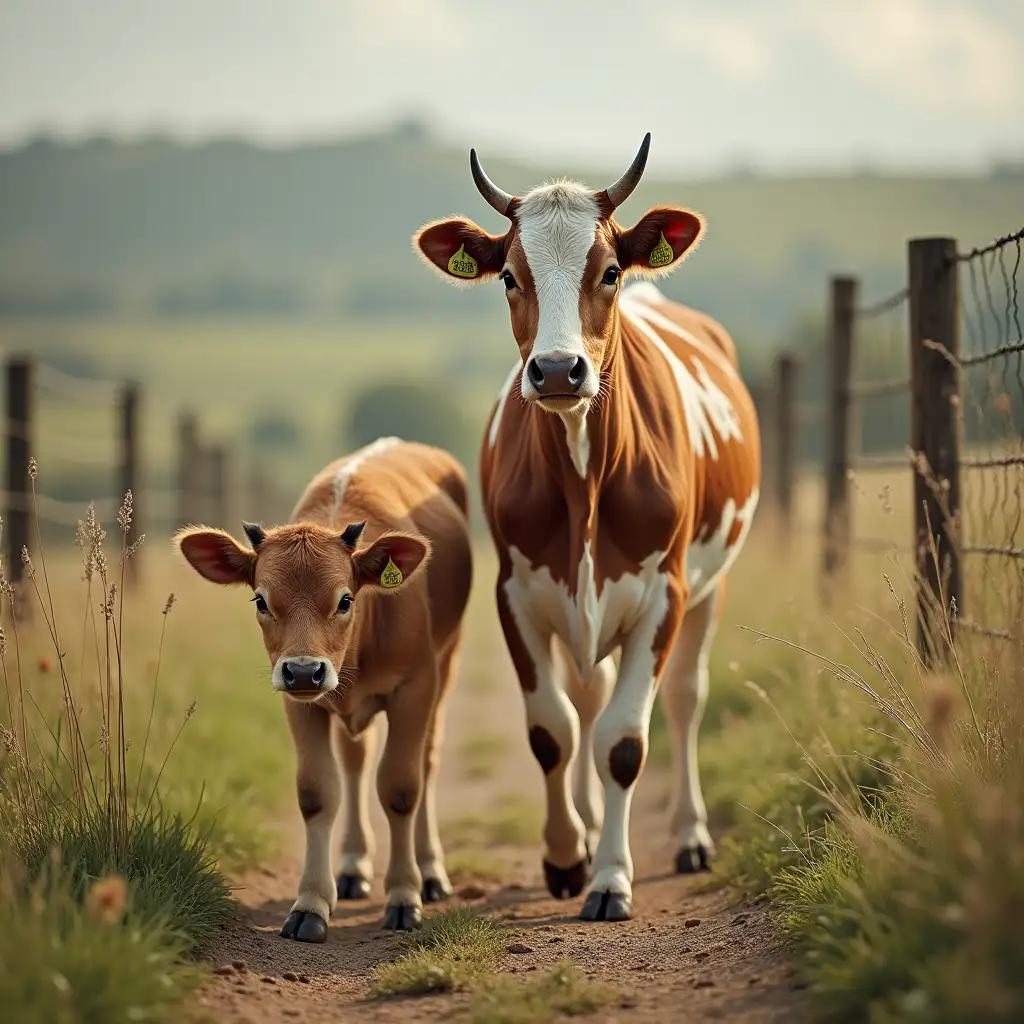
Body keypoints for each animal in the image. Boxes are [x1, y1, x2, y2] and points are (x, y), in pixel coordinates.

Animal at [173, 436, 471, 937]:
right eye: (260, 601)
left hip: (447, 663)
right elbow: (317, 793)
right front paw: (312, 901)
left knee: (427, 763)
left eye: (345, 600)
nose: (304, 671)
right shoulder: (300, 703)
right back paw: (352, 866)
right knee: (354, 763)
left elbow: (401, 788)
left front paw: (404, 894)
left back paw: (430, 871)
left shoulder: (415, 687)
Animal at [413, 132, 761, 925]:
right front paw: (568, 856)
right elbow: (554, 730)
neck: (583, 482)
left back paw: (689, 835)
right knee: (586, 697)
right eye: (509, 278)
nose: (556, 369)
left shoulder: (663, 594)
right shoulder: (516, 593)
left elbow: (624, 742)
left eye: (609, 271)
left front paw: (611, 878)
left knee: (686, 698)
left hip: (710, 589)